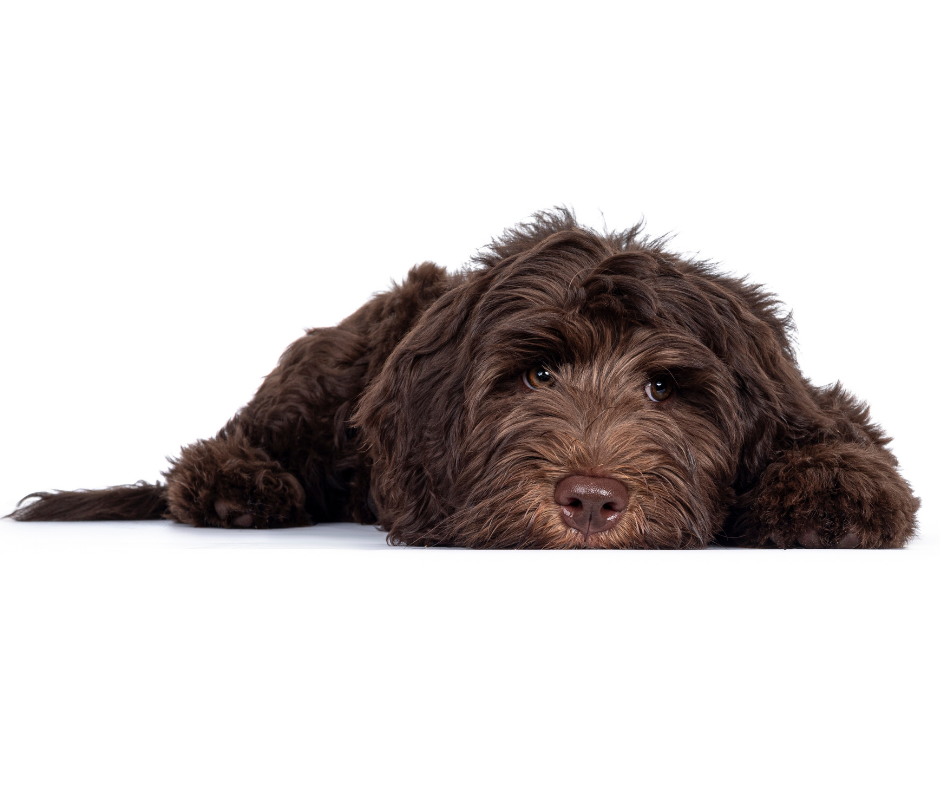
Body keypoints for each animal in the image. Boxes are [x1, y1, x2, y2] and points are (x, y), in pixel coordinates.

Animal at [9, 208, 916, 548]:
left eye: (663, 389)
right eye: (538, 373)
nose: (590, 501)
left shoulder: (800, 395)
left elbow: (845, 440)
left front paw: (836, 494)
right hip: (327, 370)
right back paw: (238, 484)